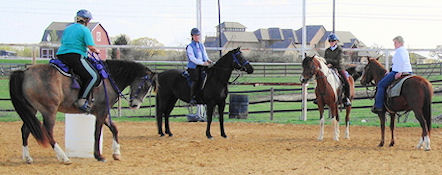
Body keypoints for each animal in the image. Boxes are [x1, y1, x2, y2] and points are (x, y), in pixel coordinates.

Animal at [7, 59, 156, 163]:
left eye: (149, 88)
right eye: (143, 85)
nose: (135, 105)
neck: (109, 79)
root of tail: (25, 72)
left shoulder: (101, 112)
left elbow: (114, 128)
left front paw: (117, 153)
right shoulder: (101, 112)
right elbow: (97, 133)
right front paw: (99, 156)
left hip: (32, 110)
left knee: (25, 130)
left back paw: (27, 158)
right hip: (49, 111)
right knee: (48, 132)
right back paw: (63, 157)